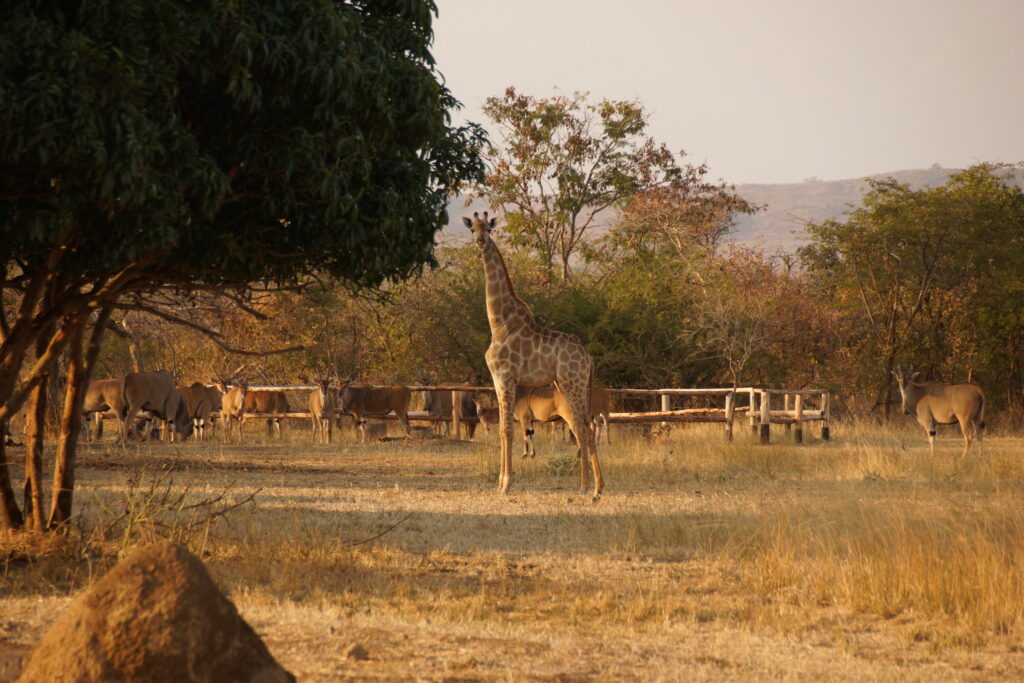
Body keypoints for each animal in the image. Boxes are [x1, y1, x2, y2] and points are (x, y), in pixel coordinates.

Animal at [462, 211, 604, 498]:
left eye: (489, 230)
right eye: (473, 229)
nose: (481, 242)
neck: (498, 322)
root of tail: (588, 356)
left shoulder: (506, 377)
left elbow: (507, 430)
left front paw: (507, 484)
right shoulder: (496, 380)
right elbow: (502, 430)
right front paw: (500, 482)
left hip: (571, 383)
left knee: (582, 427)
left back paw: (585, 486)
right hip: (574, 384)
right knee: (590, 425)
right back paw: (598, 487)